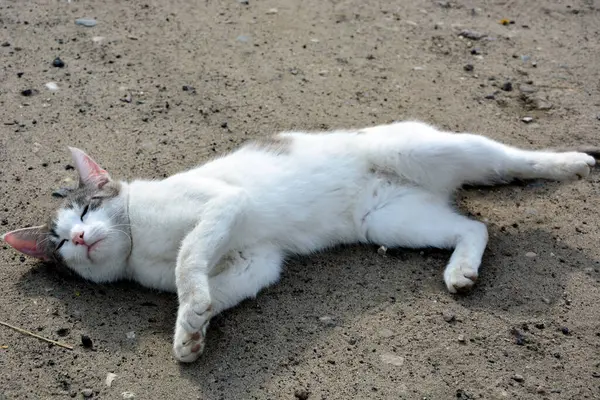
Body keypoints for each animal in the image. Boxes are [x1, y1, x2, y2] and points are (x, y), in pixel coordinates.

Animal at [2, 121, 596, 362]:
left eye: (86, 209)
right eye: (60, 246)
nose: (80, 236)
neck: (139, 247)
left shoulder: (222, 204)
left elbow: (189, 258)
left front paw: (190, 309)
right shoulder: (257, 260)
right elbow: (217, 289)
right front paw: (190, 332)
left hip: (427, 150)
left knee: (509, 159)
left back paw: (570, 163)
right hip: (394, 220)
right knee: (474, 227)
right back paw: (461, 271)